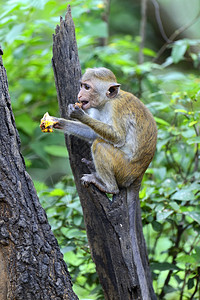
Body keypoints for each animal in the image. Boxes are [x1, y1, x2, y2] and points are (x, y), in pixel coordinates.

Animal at [52, 67, 158, 195]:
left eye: (87, 87)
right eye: (82, 85)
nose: (79, 95)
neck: (106, 102)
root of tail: (139, 175)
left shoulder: (116, 108)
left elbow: (119, 138)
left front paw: (79, 114)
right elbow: (91, 133)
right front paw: (59, 122)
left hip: (125, 170)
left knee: (99, 145)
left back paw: (110, 188)